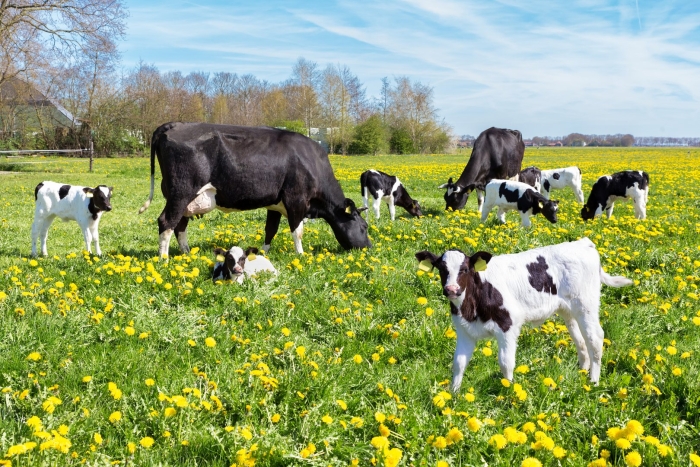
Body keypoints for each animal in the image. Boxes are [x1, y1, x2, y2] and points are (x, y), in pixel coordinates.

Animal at [138, 123, 371, 257]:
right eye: (364, 227)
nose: (369, 247)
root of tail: (174, 124)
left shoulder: (275, 204)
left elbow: (271, 229)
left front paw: (264, 253)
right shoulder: (296, 199)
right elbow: (297, 231)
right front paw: (301, 254)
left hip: (184, 198)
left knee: (179, 224)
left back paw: (186, 254)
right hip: (181, 192)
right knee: (166, 222)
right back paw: (164, 259)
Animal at [415, 238, 633, 393]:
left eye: (465, 269)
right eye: (441, 269)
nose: (451, 289)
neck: (471, 305)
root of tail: (583, 243)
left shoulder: (508, 326)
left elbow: (506, 362)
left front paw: (509, 390)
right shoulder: (464, 330)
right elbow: (458, 363)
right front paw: (453, 394)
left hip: (586, 305)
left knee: (594, 338)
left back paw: (593, 381)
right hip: (568, 310)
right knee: (580, 340)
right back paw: (582, 372)